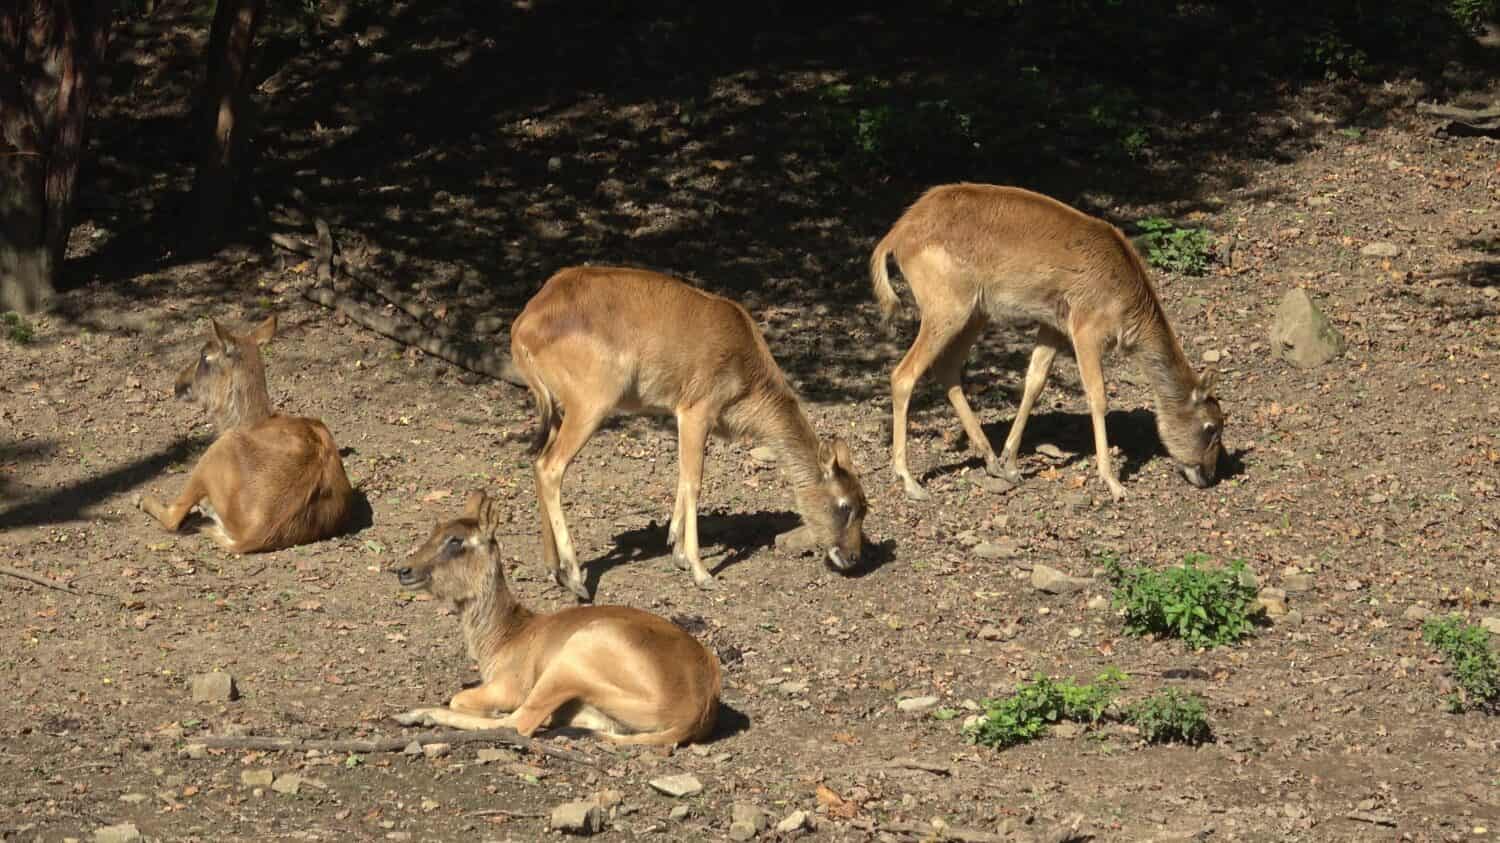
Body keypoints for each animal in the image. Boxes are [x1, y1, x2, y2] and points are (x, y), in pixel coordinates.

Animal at [132, 315, 354, 552]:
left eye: (205, 356)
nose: (178, 384)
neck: (251, 420)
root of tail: (253, 535)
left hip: (214, 453)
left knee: (174, 517)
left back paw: (143, 499)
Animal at [390, 489, 723, 744]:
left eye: (456, 541)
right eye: (435, 531)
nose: (404, 570)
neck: (509, 634)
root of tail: (695, 709)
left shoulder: (509, 687)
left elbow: (465, 700)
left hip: (569, 662)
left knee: (520, 723)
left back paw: (412, 714)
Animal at [507, 264, 870, 597]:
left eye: (864, 505)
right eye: (845, 506)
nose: (853, 557)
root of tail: (523, 326)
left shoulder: (680, 415)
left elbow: (682, 477)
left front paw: (678, 552)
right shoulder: (697, 411)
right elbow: (694, 481)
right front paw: (700, 571)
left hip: (557, 411)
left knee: (537, 463)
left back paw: (552, 568)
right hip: (590, 405)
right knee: (551, 467)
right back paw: (575, 578)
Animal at [870, 182, 1230, 498]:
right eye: (1211, 428)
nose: (1209, 475)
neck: (1127, 302)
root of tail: (895, 236)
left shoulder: (1053, 326)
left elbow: (1035, 381)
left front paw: (1011, 463)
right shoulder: (1086, 329)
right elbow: (1097, 395)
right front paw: (1113, 483)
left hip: (975, 312)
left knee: (946, 369)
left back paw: (991, 460)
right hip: (947, 308)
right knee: (903, 374)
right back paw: (910, 481)